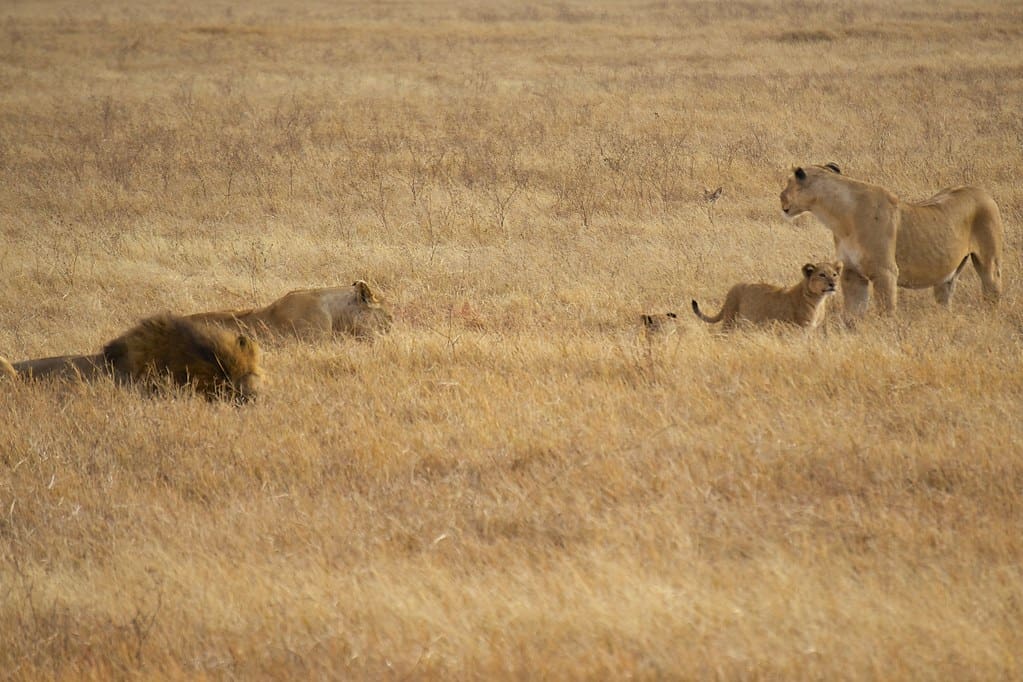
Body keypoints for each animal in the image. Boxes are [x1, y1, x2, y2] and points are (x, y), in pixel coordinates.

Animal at [691, 259, 842, 329]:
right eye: (822, 275)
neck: (819, 300)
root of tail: (733, 288)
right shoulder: (799, 328)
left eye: (834, 274)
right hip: (730, 320)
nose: (833, 284)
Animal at [777, 165, 1002, 316]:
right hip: (947, 275)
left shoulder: (885, 272)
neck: (839, 217)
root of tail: (982, 192)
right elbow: (852, 315)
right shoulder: (852, 274)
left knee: (992, 290)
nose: (780, 198)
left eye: (787, 184)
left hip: (989, 262)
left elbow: (886, 311)